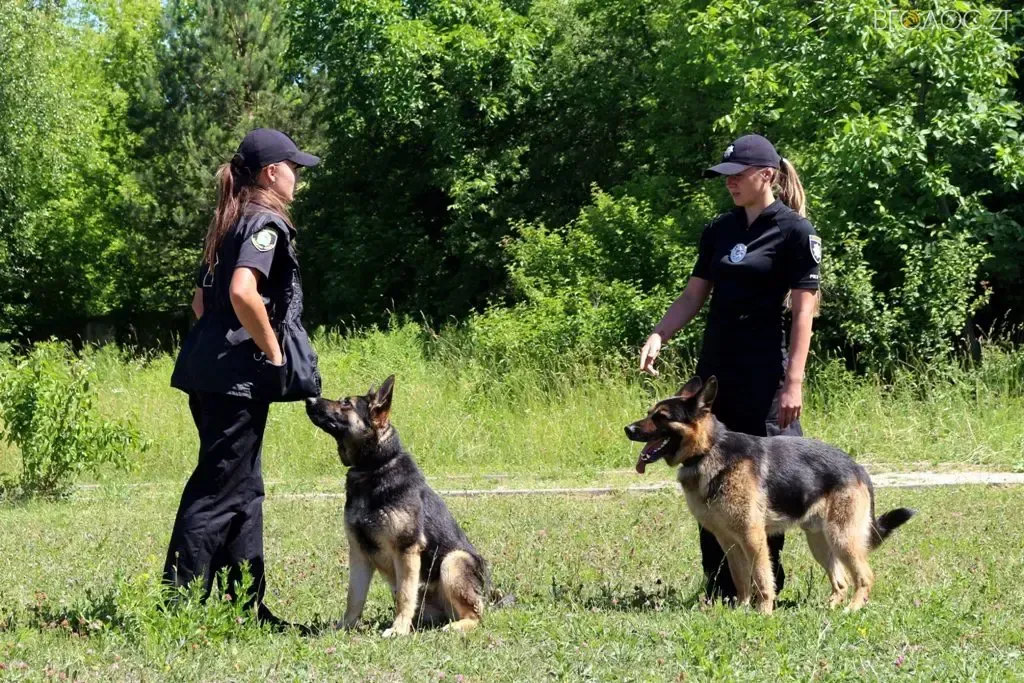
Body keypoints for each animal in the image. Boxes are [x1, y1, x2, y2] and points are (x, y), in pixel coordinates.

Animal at [305, 374, 489, 634]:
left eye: (346, 403)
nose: (309, 399)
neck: (374, 468)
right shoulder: (358, 554)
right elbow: (354, 597)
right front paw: (344, 627)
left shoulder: (406, 551)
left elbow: (404, 594)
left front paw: (398, 630)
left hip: (453, 561)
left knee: (475, 615)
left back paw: (456, 626)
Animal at [626, 376, 917, 610]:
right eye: (650, 413)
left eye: (662, 417)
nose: (628, 429)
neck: (708, 451)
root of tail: (859, 468)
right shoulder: (729, 542)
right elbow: (741, 578)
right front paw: (740, 609)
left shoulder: (753, 537)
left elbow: (762, 578)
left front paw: (764, 612)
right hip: (820, 543)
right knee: (841, 581)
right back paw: (830, 608)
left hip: (842, 538)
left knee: (864, 577)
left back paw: (852, 610)